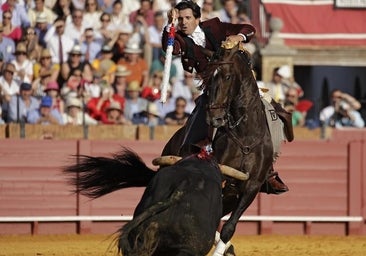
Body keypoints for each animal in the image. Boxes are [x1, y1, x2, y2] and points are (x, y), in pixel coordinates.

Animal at [162, 42, 274, 254]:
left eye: (228, 76)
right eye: (208, 78)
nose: (214, 118)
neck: (245, 136)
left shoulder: (252, 187)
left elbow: (228, 227)